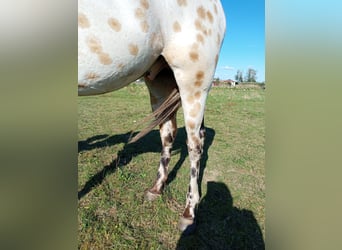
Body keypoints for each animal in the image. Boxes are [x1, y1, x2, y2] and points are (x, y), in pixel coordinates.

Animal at [79, 0, 226, 233]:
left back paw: (189, 212)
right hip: (161, 82)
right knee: (169, 134)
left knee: (194, 145)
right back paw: (156, 189)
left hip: (193, 83)